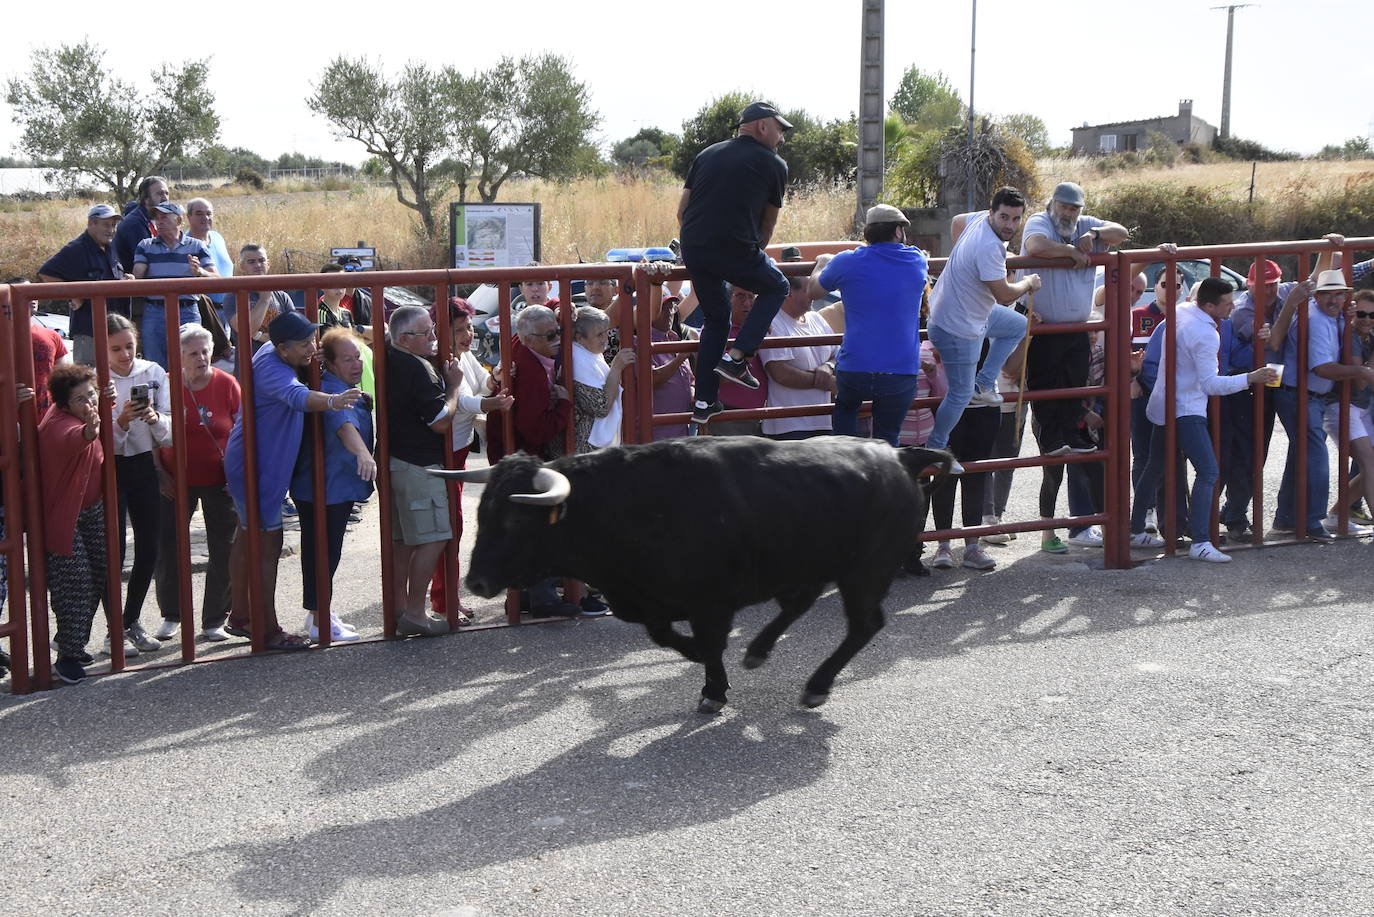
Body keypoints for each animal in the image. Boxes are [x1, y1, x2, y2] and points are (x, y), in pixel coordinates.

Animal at [434, 439, 950, 714]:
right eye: (482, 512)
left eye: (515, 520)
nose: (475, 584)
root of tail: (896, 455)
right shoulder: (648, 602)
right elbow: (666, 636)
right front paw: (706, 668)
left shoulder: (710, 603)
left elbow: (707, 643)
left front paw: (712, 689)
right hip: (806, 566)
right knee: (799, 605)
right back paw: (759, 651)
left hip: (864, 573)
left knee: (864, 625)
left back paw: (817, 684)